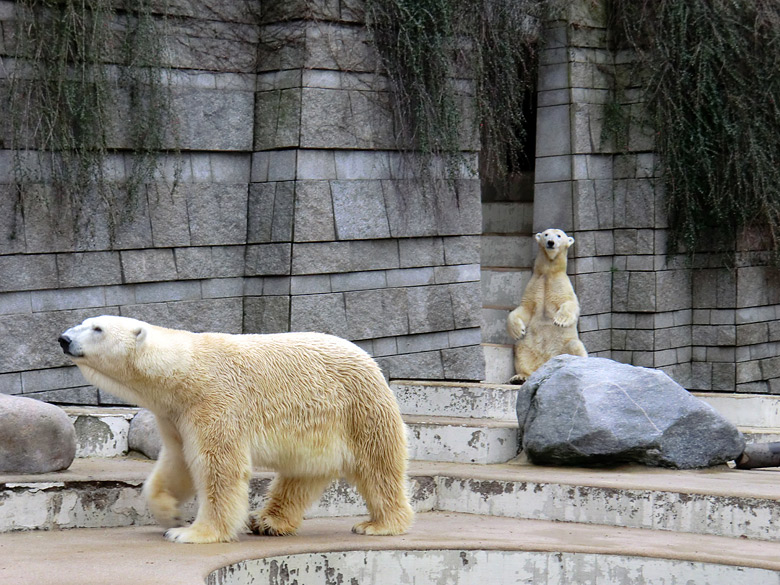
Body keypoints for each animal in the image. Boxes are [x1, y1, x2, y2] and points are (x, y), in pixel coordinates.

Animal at [59, 314, 414, 544]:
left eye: (97, 328)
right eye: (85, 322)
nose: (64, 339)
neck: (185, 370)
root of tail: (370, 359)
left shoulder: (215, 402)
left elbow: (218, 466)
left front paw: (191, 533)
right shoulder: (175, 415)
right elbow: (177, 463)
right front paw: (168, 512)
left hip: (358, 410)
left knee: (378, 466)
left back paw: (380, 525)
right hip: (318, 430)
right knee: (302, 474)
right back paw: (268, 521)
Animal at [506, 227, 584, 384]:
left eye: (559, 235)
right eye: (546, 234)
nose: (550, 242)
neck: (549, 272)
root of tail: (546, 363)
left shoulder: (562, 285)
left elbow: (570, 303)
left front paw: (560, 320)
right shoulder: (534, 284)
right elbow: (525, 308)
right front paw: (518, 331)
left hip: (564, 346)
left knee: (575, 346)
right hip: (529, 347)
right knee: (520, 350)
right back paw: (520, 377)